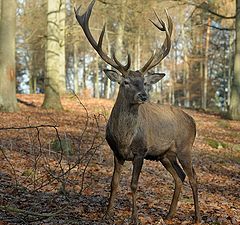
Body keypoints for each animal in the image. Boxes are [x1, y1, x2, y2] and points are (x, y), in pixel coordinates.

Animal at [74, 0, 201, 224]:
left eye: (144, 82)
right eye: (125, 81)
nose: (143, 95)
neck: (124, 138)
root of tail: (193, 121)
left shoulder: (141, 151)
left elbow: (133, 185)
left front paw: (135, 218)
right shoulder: (116, 152)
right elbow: (114, 183)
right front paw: (107, 214)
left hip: (185, 147)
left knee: (194, 177)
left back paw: (196, 217)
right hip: (165, 155)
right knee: (180, 176)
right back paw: (169, 214)